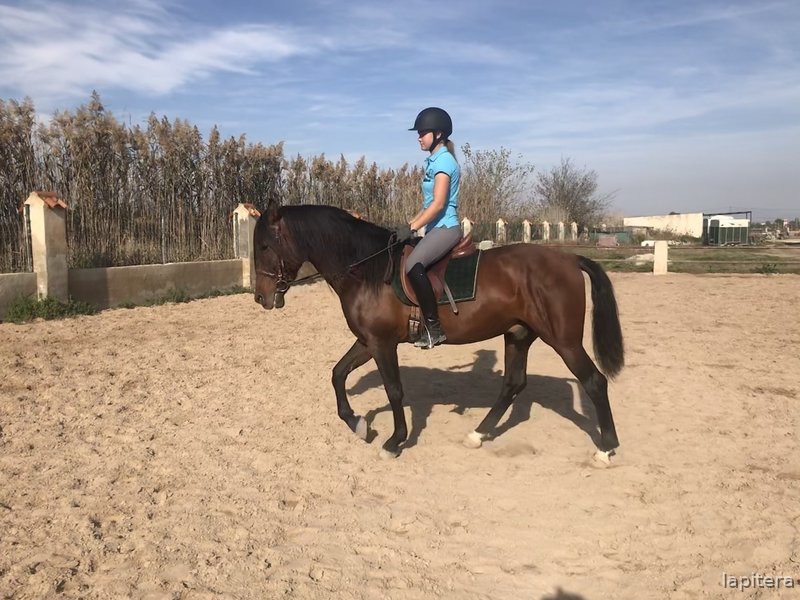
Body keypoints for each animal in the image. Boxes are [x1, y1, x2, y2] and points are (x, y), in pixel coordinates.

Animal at [253, 202, 625, 463]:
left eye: (265, 247)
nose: (261, 298)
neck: (369, 270)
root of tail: (569, 260)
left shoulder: (382, 343)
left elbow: (394, 390)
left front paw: (394, 441)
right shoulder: (367, 341)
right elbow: (337, 373)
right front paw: (357, 424)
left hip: (563, 341)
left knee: (594, 382)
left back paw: (606, 449)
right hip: (518, 334)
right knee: (513, 384)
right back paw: (477, 435)